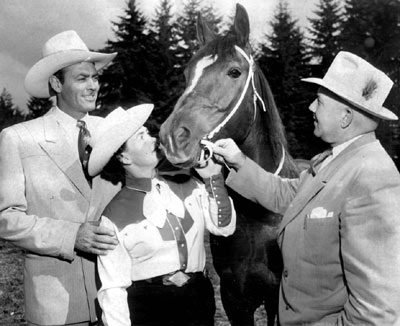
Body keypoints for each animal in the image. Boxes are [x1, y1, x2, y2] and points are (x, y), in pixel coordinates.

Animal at [158, 3, 298, 326]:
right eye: (186, 73)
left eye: (234, 71)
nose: (173, 137)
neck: (257, 214)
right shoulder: (235, 298)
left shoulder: (276, 299)